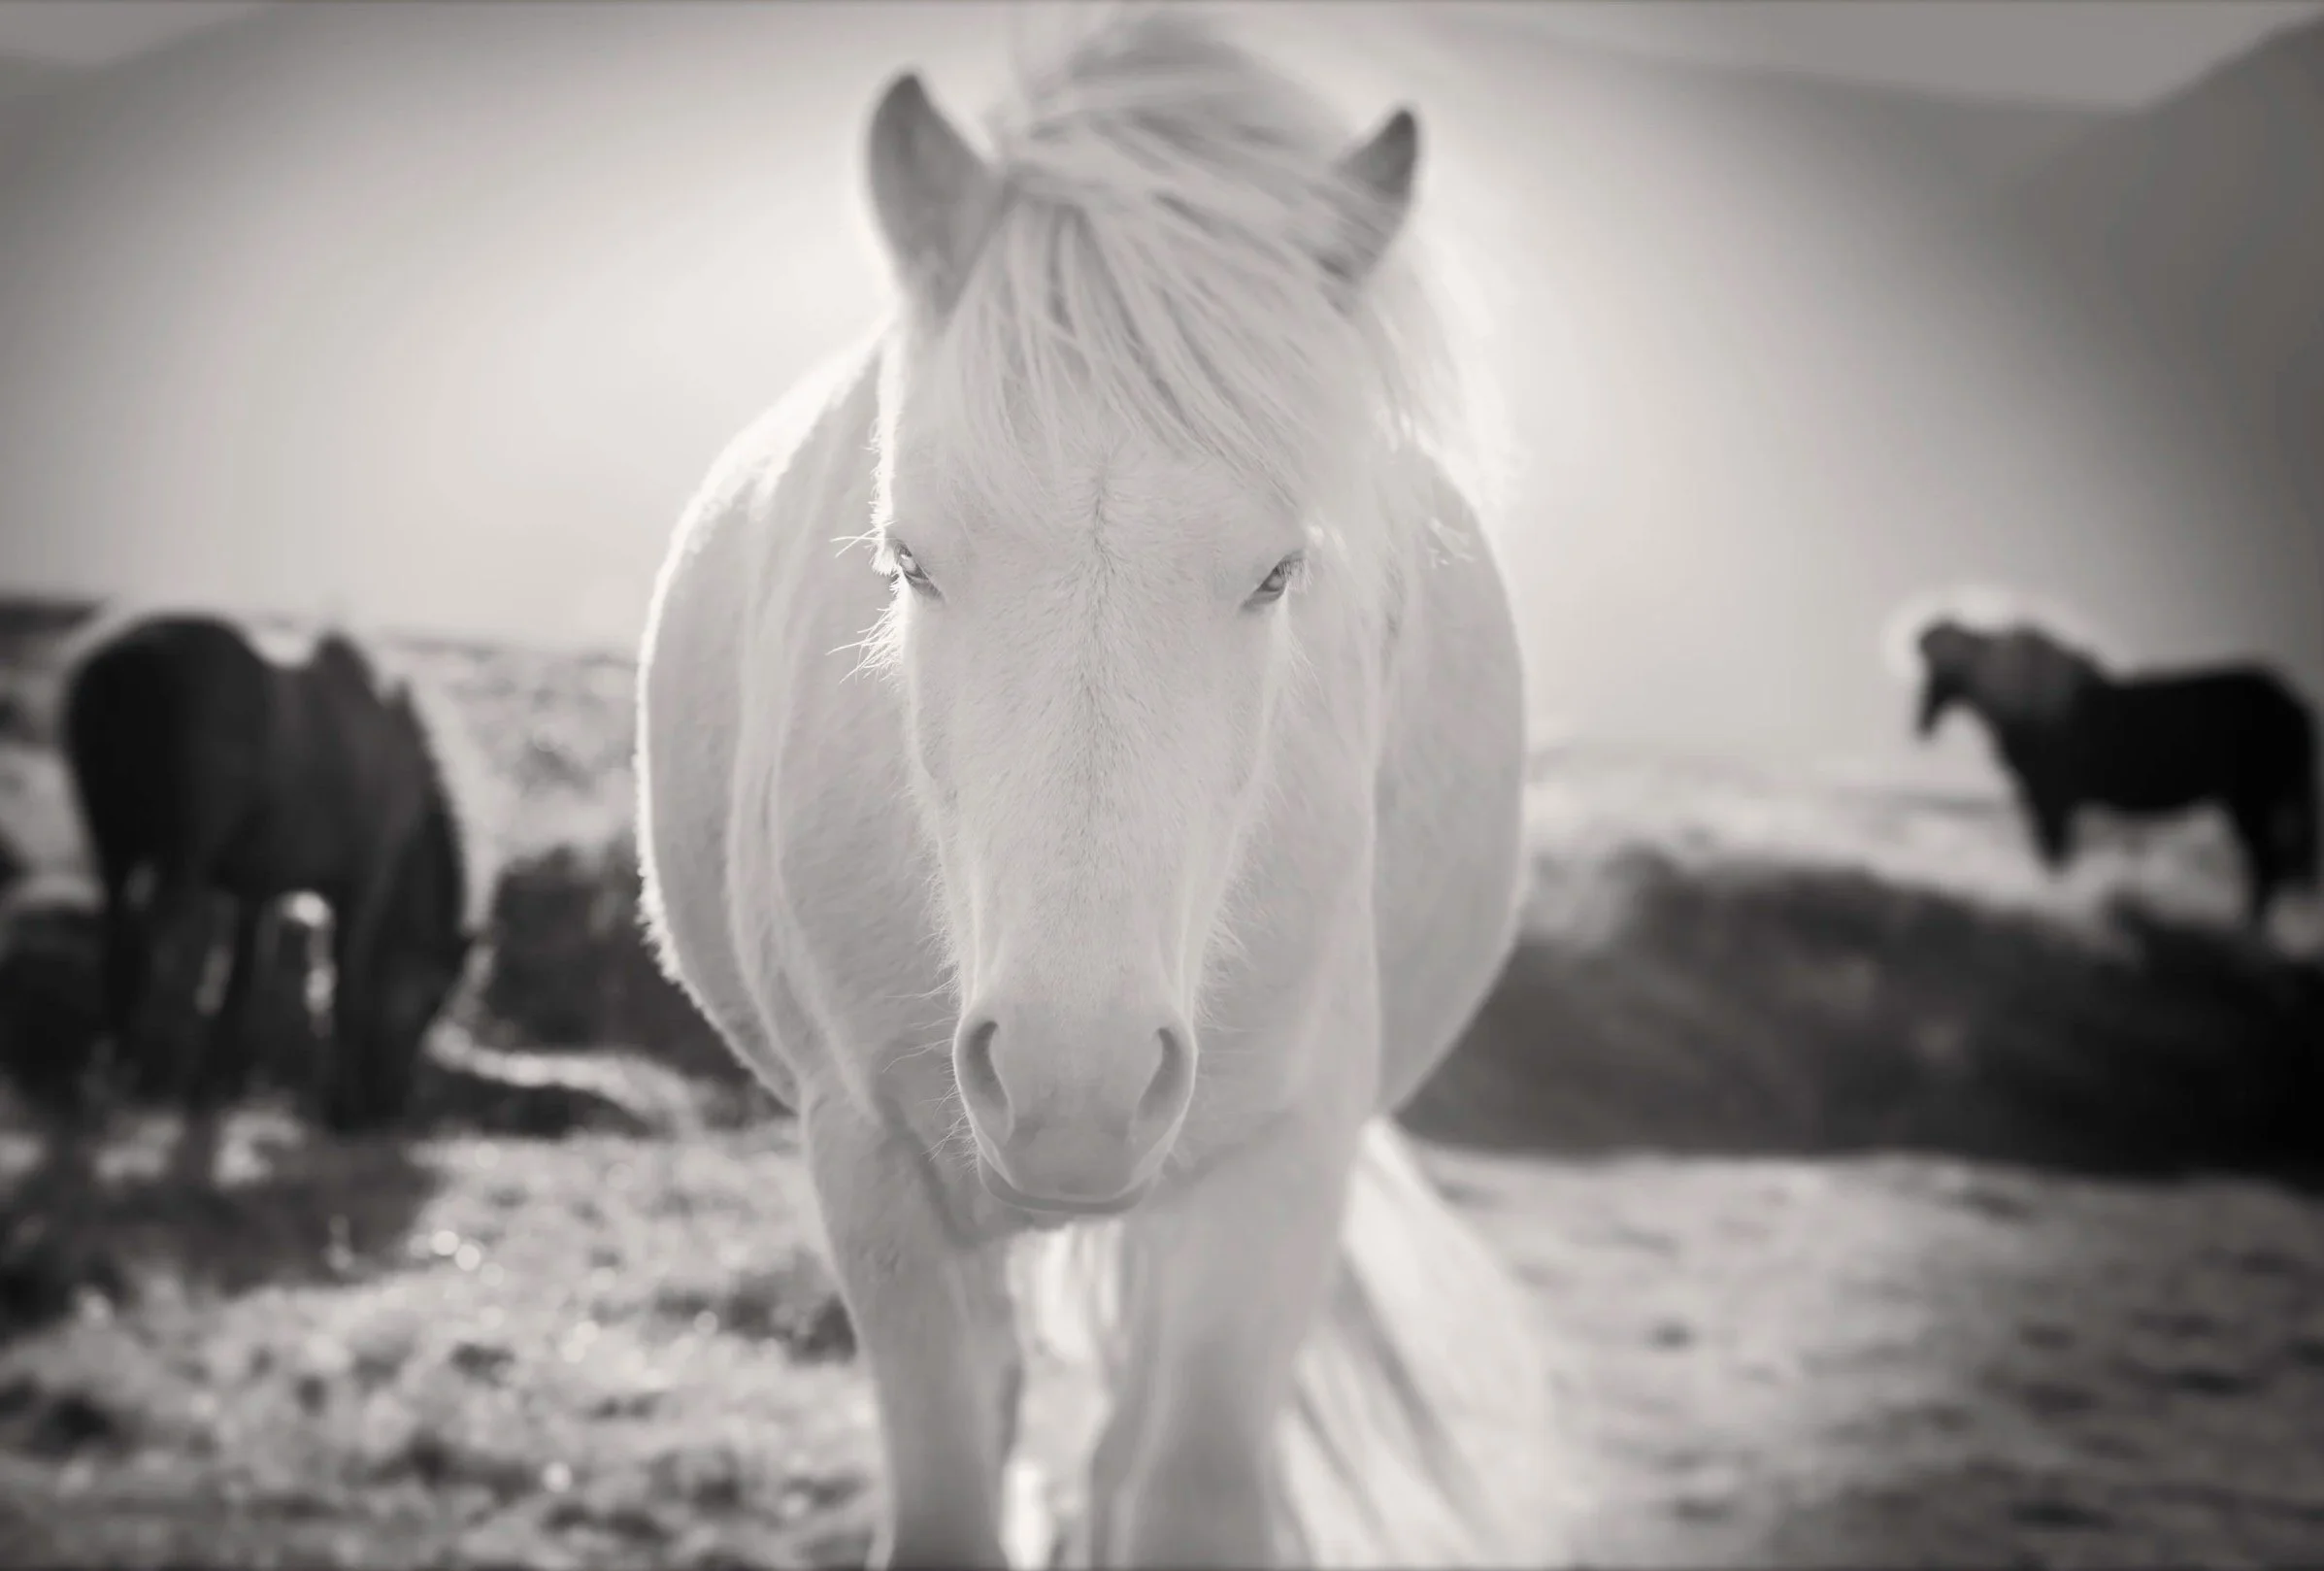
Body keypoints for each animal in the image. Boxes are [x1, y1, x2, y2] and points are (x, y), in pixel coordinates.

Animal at [54, 611, 486, 1182]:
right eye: (433, 1000)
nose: (391, 1106)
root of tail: (131, 658)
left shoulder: (257, 891)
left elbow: (241, 984)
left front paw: (213, 1089)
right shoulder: (362, 888)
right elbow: (344, 992)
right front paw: (340, 1111)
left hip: (114, 849)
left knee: (117, 945)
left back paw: (106, 1076)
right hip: (180, 856)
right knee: (152, 949)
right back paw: (128, 1081)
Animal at [636, 11, 1553, 1567]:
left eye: (1278, 572)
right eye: (908, 558)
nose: (1076, 1083)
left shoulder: (1276, 1172)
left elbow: (1179, 1486)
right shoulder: (871, 1166)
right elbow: (951, 1494)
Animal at [1914, 614, 2320, 927]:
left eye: (1940, 670)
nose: (1922, 723)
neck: (2032, 707)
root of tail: (2292, 702)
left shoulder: (2052, 800)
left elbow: (2055, 858)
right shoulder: (2046, 802)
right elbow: (2053, 858)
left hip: (2250, 801)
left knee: (2269, 868)